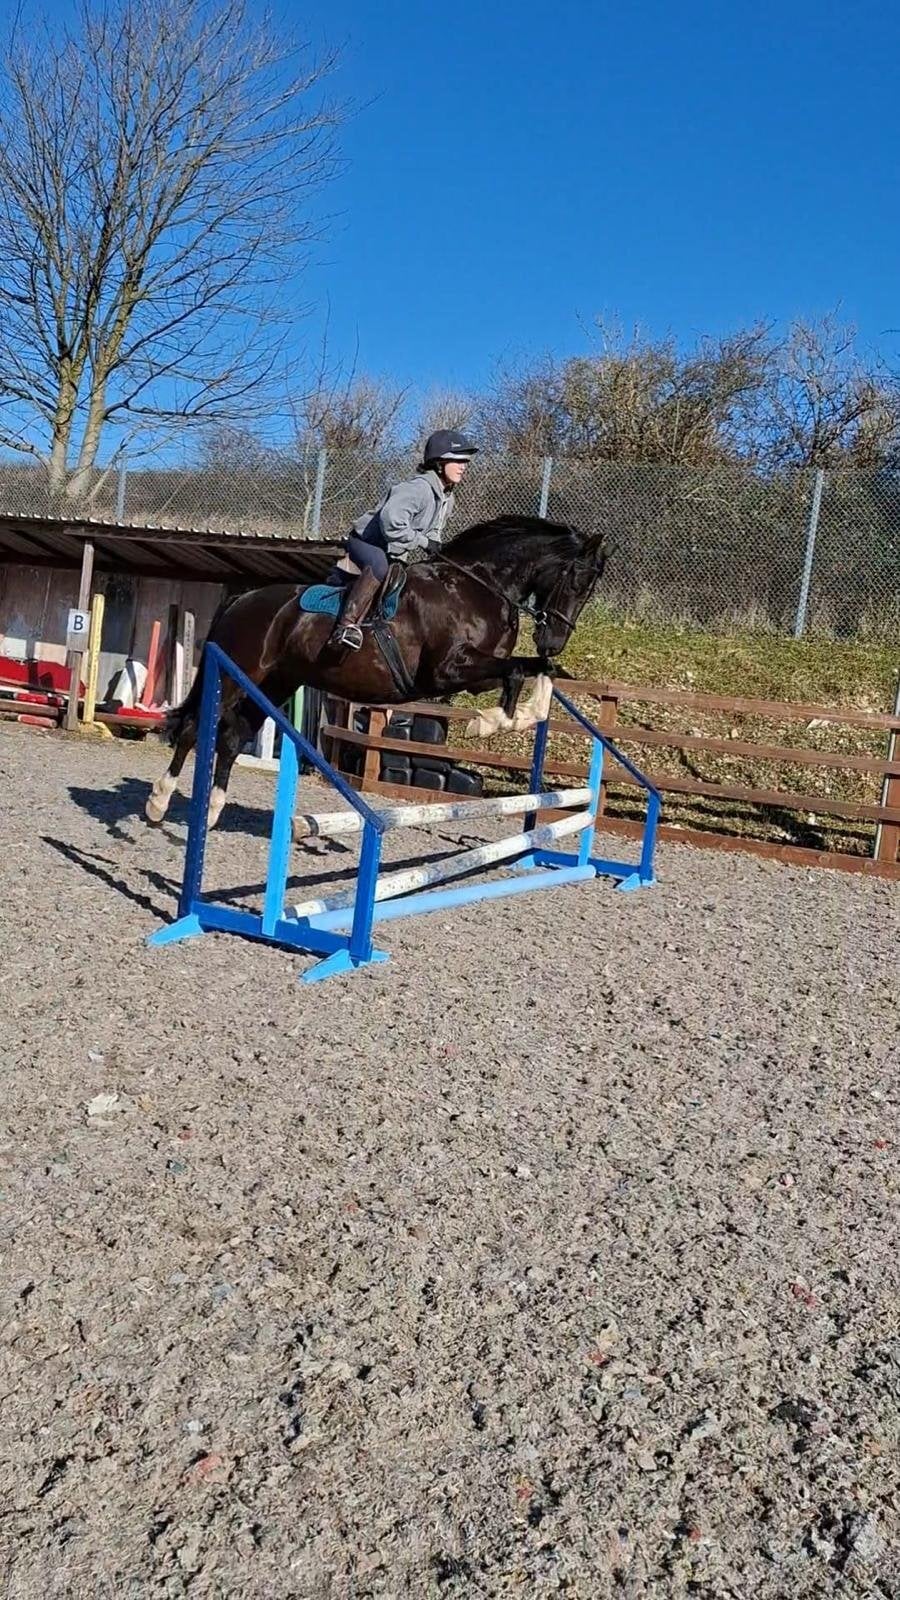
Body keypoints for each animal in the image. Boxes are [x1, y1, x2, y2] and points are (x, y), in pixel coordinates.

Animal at [146, 513, 608, 829]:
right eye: (577, 580)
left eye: (590, 588)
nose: (554, 638)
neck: (478, 585)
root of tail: (242, 598)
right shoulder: (449, 669)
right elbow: (516, 673)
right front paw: (492, 722)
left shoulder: (475, 674)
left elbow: (537, 670)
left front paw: (514, 715)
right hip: (235, 675)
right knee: (194, 729)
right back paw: (158, 803)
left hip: (275, 684)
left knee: (232, 737)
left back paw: (211, 811)